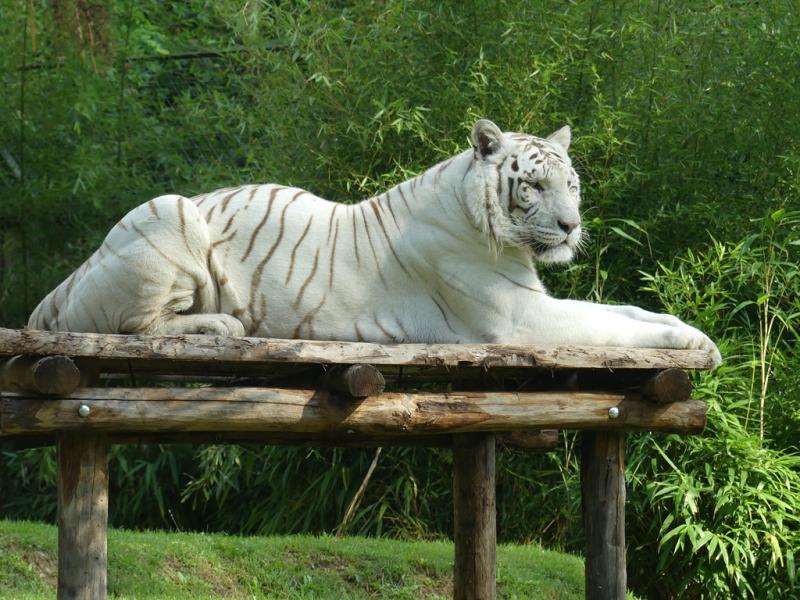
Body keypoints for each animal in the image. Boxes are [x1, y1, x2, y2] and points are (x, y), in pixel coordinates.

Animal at [27, 119, 722, 365]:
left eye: (572, 185)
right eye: (534, 186)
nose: (571, 226)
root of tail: (57, 289)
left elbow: (628, 311)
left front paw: (690, 329)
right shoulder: (519, 318)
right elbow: (615, 325)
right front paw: (698, 345)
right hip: (168, 212)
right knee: (131, 326)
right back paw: (221, 326)